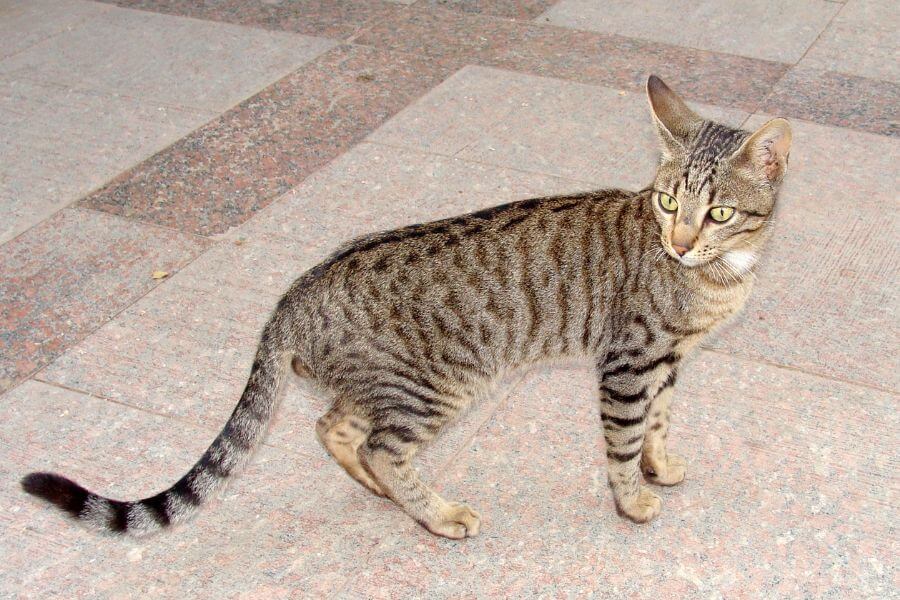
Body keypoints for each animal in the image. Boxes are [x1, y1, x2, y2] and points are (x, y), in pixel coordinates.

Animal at [22, 75, 796, 540]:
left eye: (718, 211)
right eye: (668, 201)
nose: (679, 240)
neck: (718, 274)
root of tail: (292, 296)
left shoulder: (667, 362)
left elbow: (660, 425)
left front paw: (661, 466)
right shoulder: (630, 363)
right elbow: (625, 441)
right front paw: (632, 500)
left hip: (387, 384)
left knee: (333, 426)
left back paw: (382, 494)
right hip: (437, 386)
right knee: (378, 444)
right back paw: (437, 513)